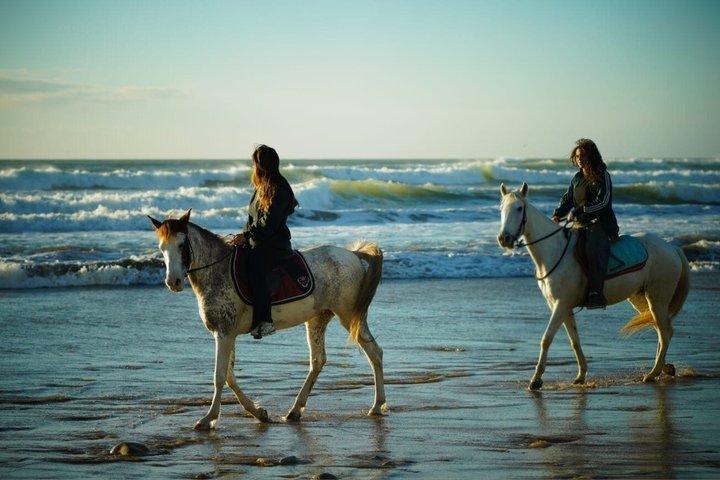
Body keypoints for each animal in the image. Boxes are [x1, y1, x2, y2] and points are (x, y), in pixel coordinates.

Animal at [148, 209, 387, 429]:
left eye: (181, 245)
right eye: (161, 248)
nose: (173, 282)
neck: (218, 271)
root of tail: (354, 255)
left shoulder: (223, 334)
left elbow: (219, 376)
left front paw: (208, 419)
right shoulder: (227, 334)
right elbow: (230, 377)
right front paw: (258, 413)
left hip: (348, 315)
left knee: (374, 352)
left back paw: (377, 406)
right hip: (317, 318)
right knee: (318, 361)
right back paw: (295, 410)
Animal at [497, 183, 689, 390]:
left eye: (519, 208)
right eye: (501, 209)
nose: (504, 238)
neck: (554, 252)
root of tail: (672, 248)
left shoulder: (560, 305)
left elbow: (546, 338)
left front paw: (536, 380)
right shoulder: (563, 307)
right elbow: (574, 340)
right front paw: (581, 375)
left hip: (657, 298)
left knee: (665, 332)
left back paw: (653, 373)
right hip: (642, 299)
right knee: (661, 330)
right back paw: (663, 368)